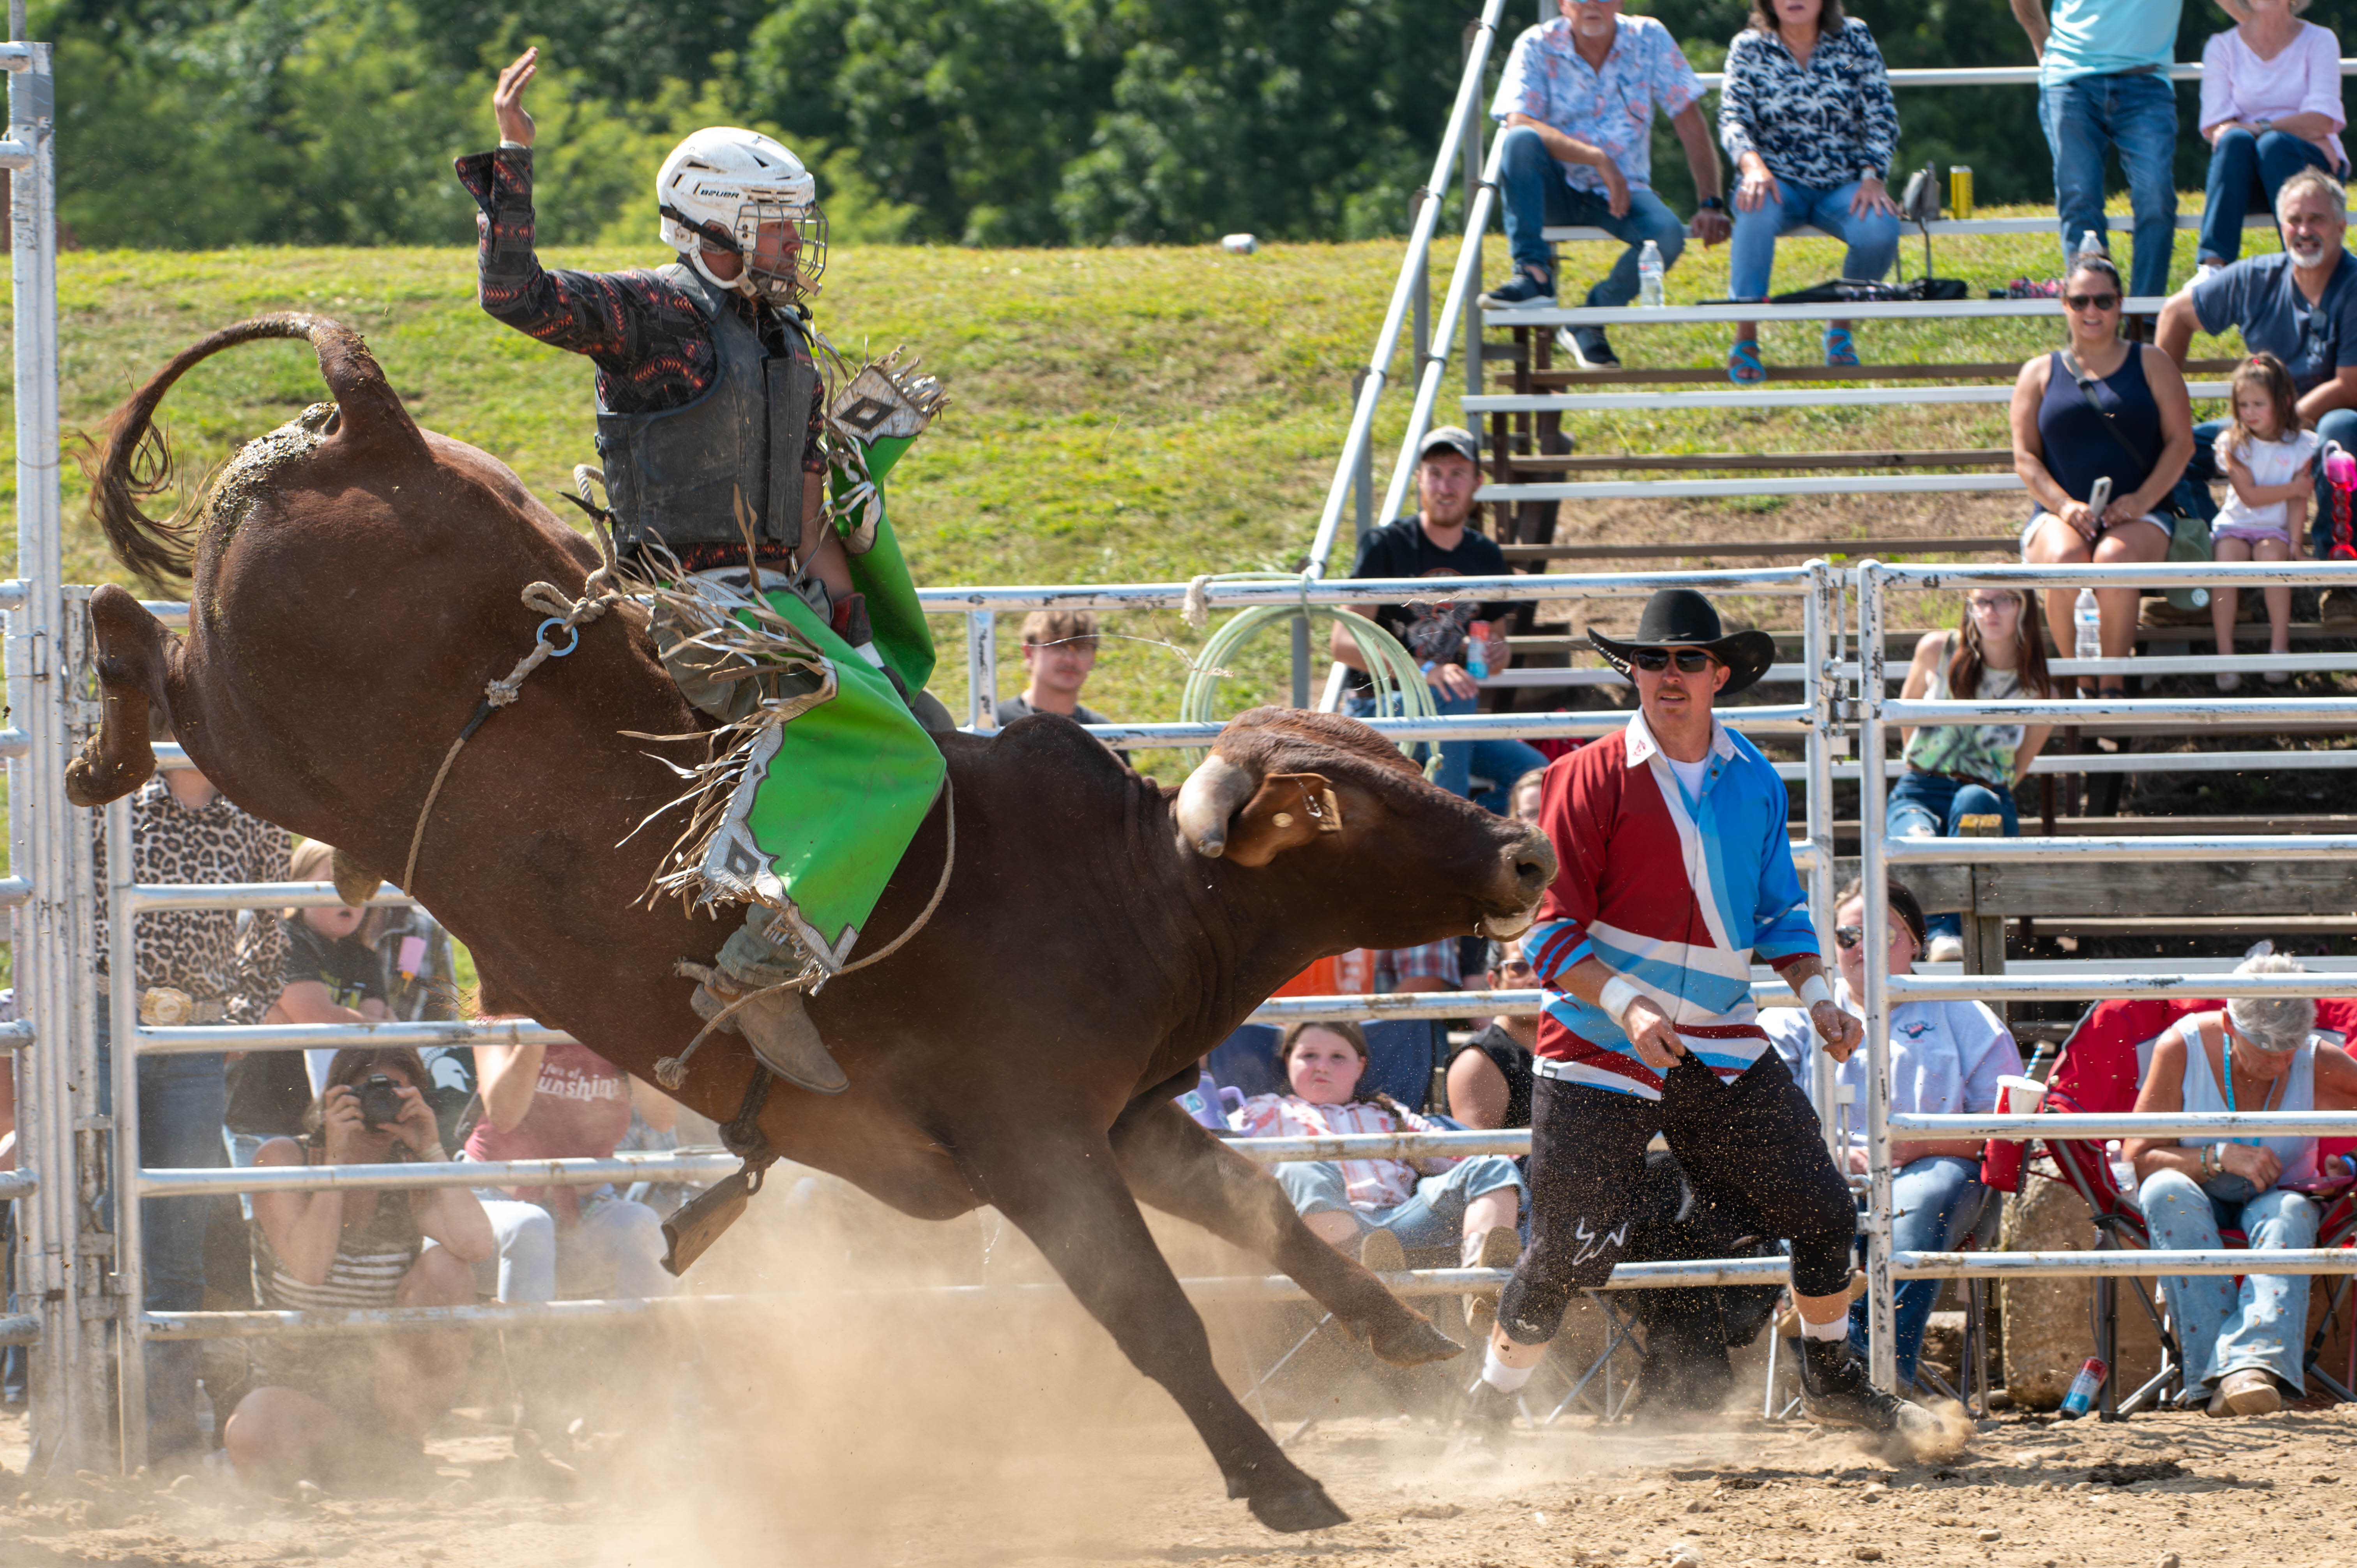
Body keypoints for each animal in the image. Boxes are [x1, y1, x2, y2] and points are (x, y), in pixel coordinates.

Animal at [64, 318, 1555, 1528]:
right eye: (1338, 806)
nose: (1525, 846)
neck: (1136, 891)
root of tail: (374, 426)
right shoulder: (1034, 1144)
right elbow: (1156, 1316)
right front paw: (1281, 1481)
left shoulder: (1125, 1117)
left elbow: (1264, 1217)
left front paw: (1397, 1334)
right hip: (263, 735)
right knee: (138, 635)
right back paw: (100, 746)